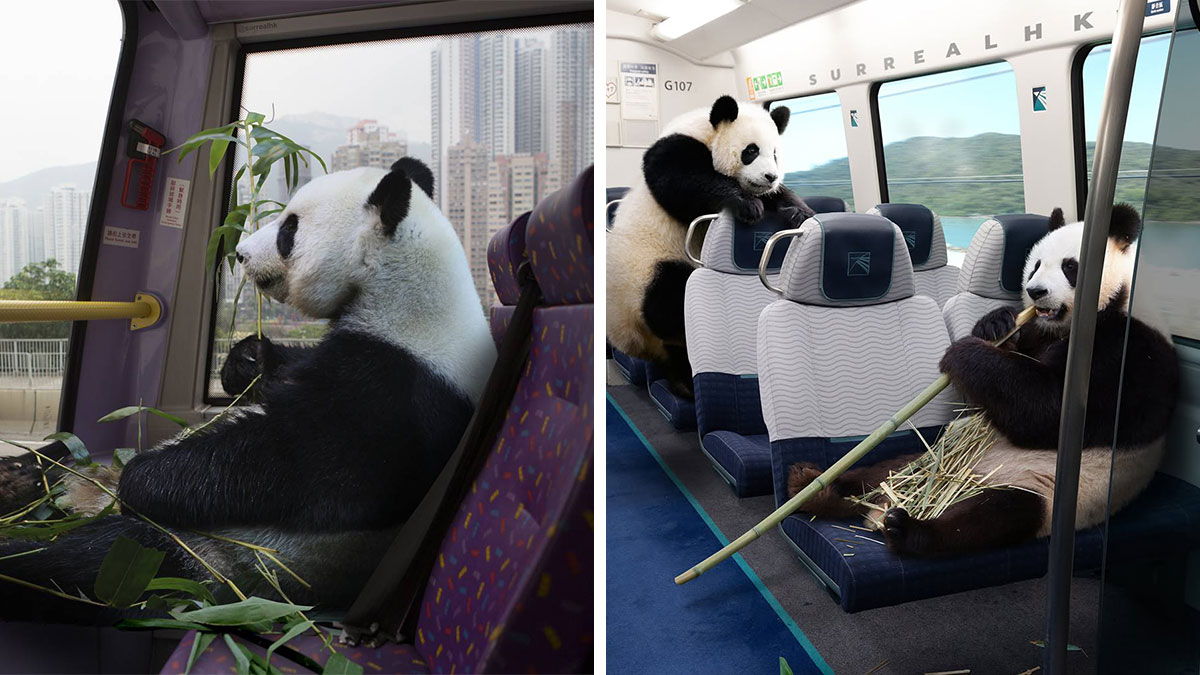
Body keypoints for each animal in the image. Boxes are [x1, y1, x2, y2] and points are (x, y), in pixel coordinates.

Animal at [0, 157, 496, 621]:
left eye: (289, 229)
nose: (238, 253)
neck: (406, 292)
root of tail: (84, 500)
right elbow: (279, 374)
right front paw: (246, 360)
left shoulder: (398, 391)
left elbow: (289, 463)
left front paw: (141, 479)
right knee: (61, 465)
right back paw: (22, 476)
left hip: (200, 556)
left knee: (87, 557)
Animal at [606, 95, 812, 396]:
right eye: (751, 151)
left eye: (775, 153)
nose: (770, 177)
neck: (706, 131)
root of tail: (628, 340)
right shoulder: (675, 149)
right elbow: (685, 182)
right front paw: (746, 205)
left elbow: (781, 198)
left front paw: (798, 212)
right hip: (643, 273)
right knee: (668, 301)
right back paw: (684, 381)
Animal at [787, 204, 1180, 556]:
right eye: (1035, 265)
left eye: (1071, 266)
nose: (1036, 292)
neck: (1114, 301)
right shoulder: (1044, 333)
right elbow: (1019, 362)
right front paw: (995, 324)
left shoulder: (1129, 355)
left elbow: (1047, 411)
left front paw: (964, 351)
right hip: (930, 456)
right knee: (885, 470)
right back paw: (814, 486)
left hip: (1042, 491)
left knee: (990, 517)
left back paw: (905, 530)